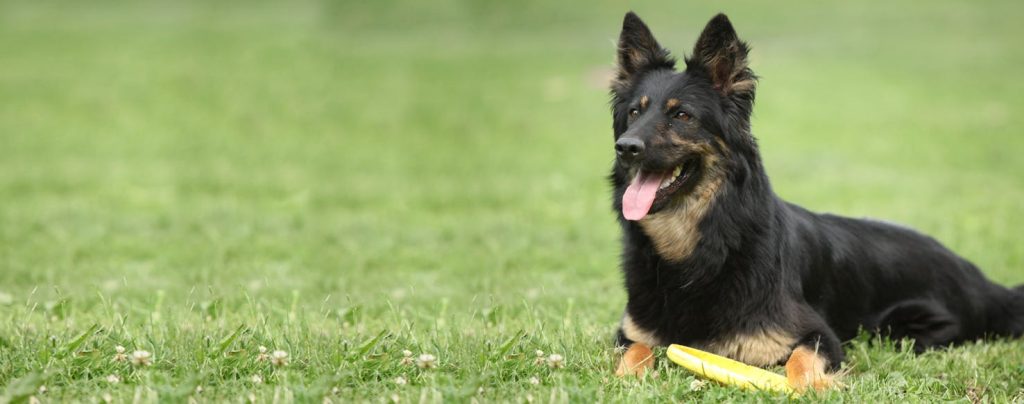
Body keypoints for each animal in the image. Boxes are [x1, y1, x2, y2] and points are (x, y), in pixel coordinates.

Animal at [606, 13, 1024, 392]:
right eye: (635, 112)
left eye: (681, 115)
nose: (626, 147)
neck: (700, 247)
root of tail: (984, 282)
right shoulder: (631, 330)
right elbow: (636, 349)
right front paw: (628, 377)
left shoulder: (817, 333)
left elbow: (801, 359)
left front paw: (813, 385)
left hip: (901, 331)